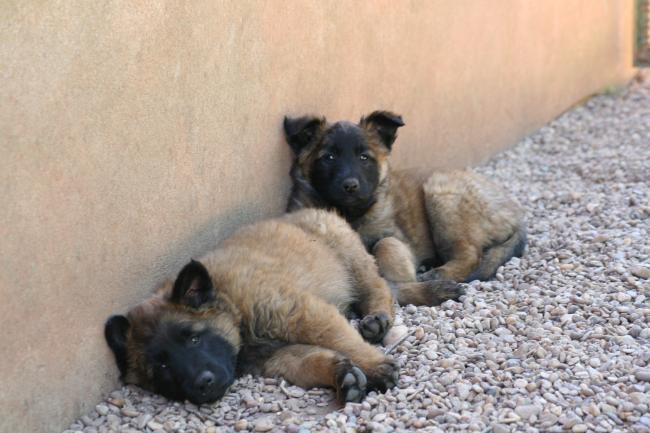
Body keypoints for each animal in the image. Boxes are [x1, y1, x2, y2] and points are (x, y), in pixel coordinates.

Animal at [103, 209, 394, 404]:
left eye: (194, 339)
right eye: (162, 367)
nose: (203, 385)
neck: (233, 306)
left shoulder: (303, 313)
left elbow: (343, 340)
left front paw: (376, 366)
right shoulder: (276, 357)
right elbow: (309, 362)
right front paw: (343, 376)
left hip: (349, 255)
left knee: (377, 285)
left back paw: (377, 319)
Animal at [284, 109, 528, 304]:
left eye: (364, 157)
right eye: (329, 157)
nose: (350, 186)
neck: (351, 214)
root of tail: (515, 213)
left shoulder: (398, 238)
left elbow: (386, 246)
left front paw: (404, 282)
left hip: (441, 191)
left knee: (470, 254)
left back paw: (438, 273)